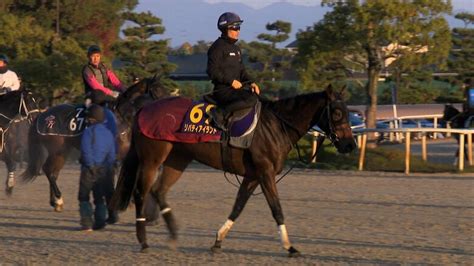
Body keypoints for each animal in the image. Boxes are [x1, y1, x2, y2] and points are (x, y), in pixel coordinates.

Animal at [21, 76, 167, 211]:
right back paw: (58, 199)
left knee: (53, 172)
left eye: (162, 89)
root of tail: (42, 116)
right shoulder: (117, 156)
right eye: (156, 90)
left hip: (63, 151)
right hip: (57, 151)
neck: (122, 119)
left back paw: (55, 202)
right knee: (49, 171)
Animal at [111, 85, 356, 256]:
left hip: (178, 159)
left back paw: (173, 233)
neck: (275, 126)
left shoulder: (253, 176)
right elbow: (276, 208)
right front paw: (289, 246)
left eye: (347, 112)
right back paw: (143, 241)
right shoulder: (265, 172)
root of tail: (143, 110)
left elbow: (238, 207)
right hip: (152, 159)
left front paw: (218, 240)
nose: (350, 145)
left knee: (159, 191)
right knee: (141, 193)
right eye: (337, 113)